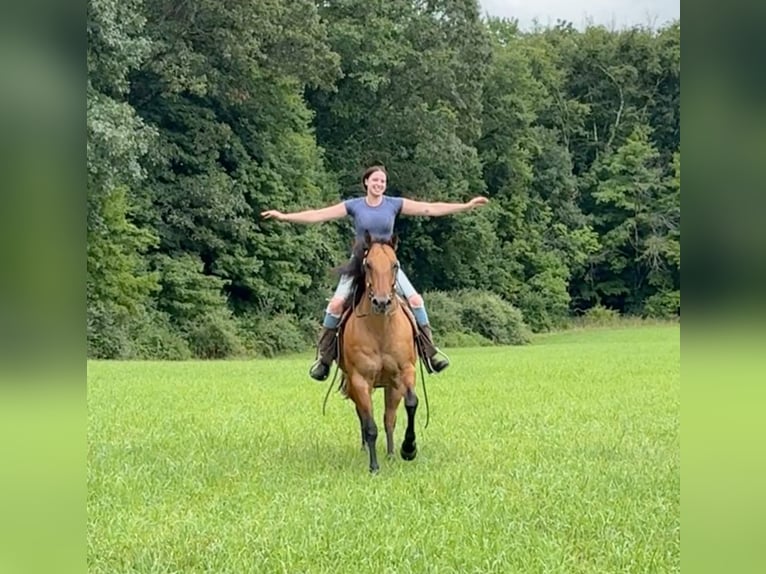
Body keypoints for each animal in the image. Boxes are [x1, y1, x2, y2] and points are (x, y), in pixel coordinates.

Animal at [338, 232, 420, 474]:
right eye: (368, 265)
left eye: (395, 264)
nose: (381, 302)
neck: (381, 330)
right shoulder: (360, 380)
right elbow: (370, 425)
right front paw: (374, 467)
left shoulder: (404, 372)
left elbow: (410, 404)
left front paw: (408, 449)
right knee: (364, 416)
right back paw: (367, 449)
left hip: (391, 386)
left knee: (389, 418)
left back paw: (392, 453)